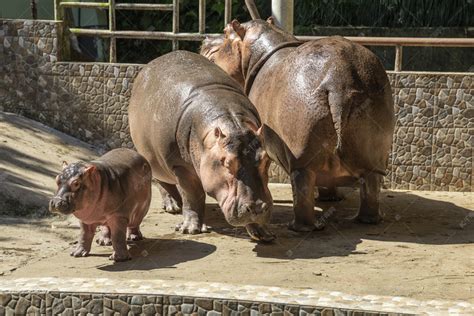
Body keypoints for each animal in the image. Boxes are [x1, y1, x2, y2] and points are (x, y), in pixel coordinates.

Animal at [129, 50, 274, 242]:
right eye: (227, 163)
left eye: (266, 160)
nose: (257, 208)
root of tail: (151, 64)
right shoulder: (181, 166)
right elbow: (193, 195)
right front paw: (190, 229)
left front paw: (263, 233)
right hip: (151, 156)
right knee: (162, 181)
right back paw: (173, 206)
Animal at [201, 19, 396, 231]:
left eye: (226, 31)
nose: (205, 38)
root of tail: (339, 83)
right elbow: (328, 180)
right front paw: (330, 199)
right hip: (373, 150)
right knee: (371, 185)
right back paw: (368, 219)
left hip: (302, 159)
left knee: (302, 189)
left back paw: (298, 227)